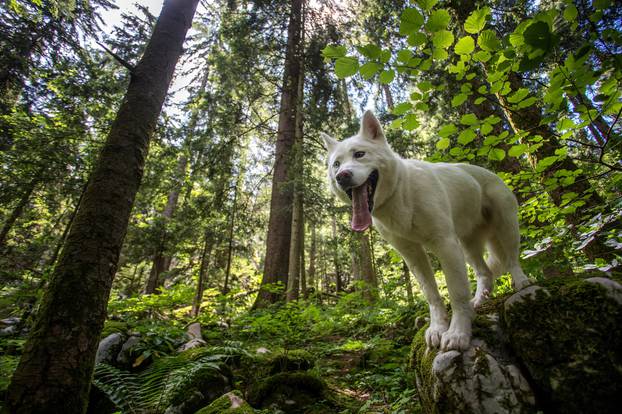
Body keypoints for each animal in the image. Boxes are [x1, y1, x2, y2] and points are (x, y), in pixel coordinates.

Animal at [322, 110, 532, 350]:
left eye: (359, 154)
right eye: (336, 164)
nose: (342, 176)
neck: (401, 195)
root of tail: (489, 172)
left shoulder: (445, 244)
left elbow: (457, 292)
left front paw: (458, 333)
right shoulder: (412, 254)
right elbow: (431, 295)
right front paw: (438, 328)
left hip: (506, 228)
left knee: (512, 260)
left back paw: (522, 282)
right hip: (467, 246)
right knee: (484, 272)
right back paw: (478, 301)